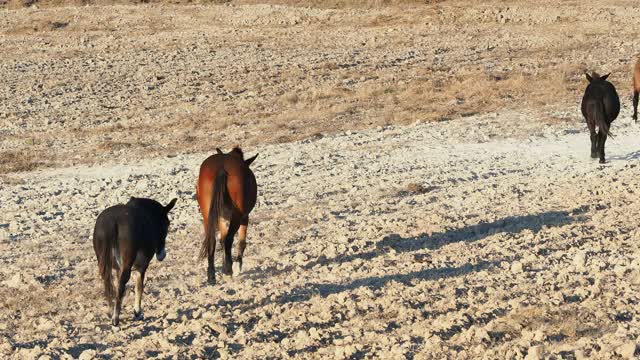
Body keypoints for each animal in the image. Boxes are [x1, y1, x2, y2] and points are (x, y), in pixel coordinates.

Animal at [93, 197, 178, 326]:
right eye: (167, 225)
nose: (162, 255)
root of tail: (112, 222)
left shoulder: (118, 268)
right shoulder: (141, 267)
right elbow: (139, 287)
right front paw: (137, 312)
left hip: (105, 264)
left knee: (109, 285)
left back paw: (111, 310)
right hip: (127, 265)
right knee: (121, 286)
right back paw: (115, 318)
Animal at [195, 146, 258, 284]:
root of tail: (222, 168)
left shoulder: (220, 217)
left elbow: (222, 239)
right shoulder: (244, 217)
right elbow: (241, 241)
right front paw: (237, 266)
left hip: (207, 215)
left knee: (212, 240)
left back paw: (211, 275)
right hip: (237, 216)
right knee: (229, 239)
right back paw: (229, 270)